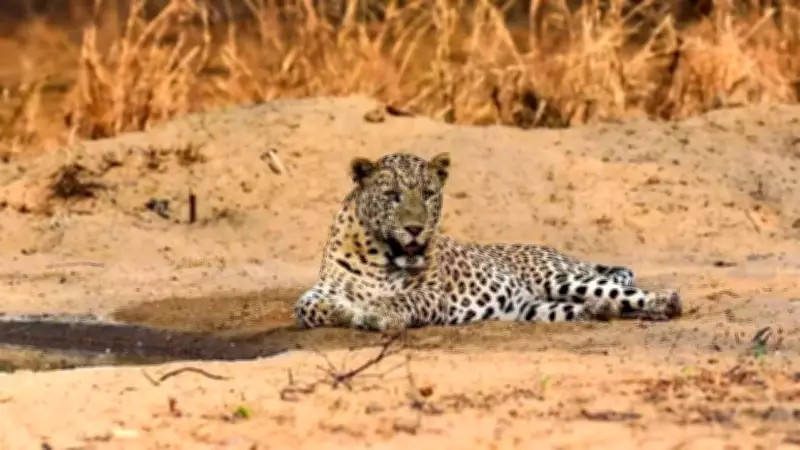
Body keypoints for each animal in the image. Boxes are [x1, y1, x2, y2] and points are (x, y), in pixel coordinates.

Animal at [293, 151, 682, 332]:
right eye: (392, 196)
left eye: (429, 194)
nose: (416, 229)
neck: (379, 255)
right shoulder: (321, 289)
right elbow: (308, 308)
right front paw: (347, 311)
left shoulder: (433, 294)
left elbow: (402, 298)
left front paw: (377, 313)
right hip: (533, 307)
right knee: (591, 304)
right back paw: (599, 310)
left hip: (560, 277)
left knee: (631, 291)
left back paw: (664, 302)